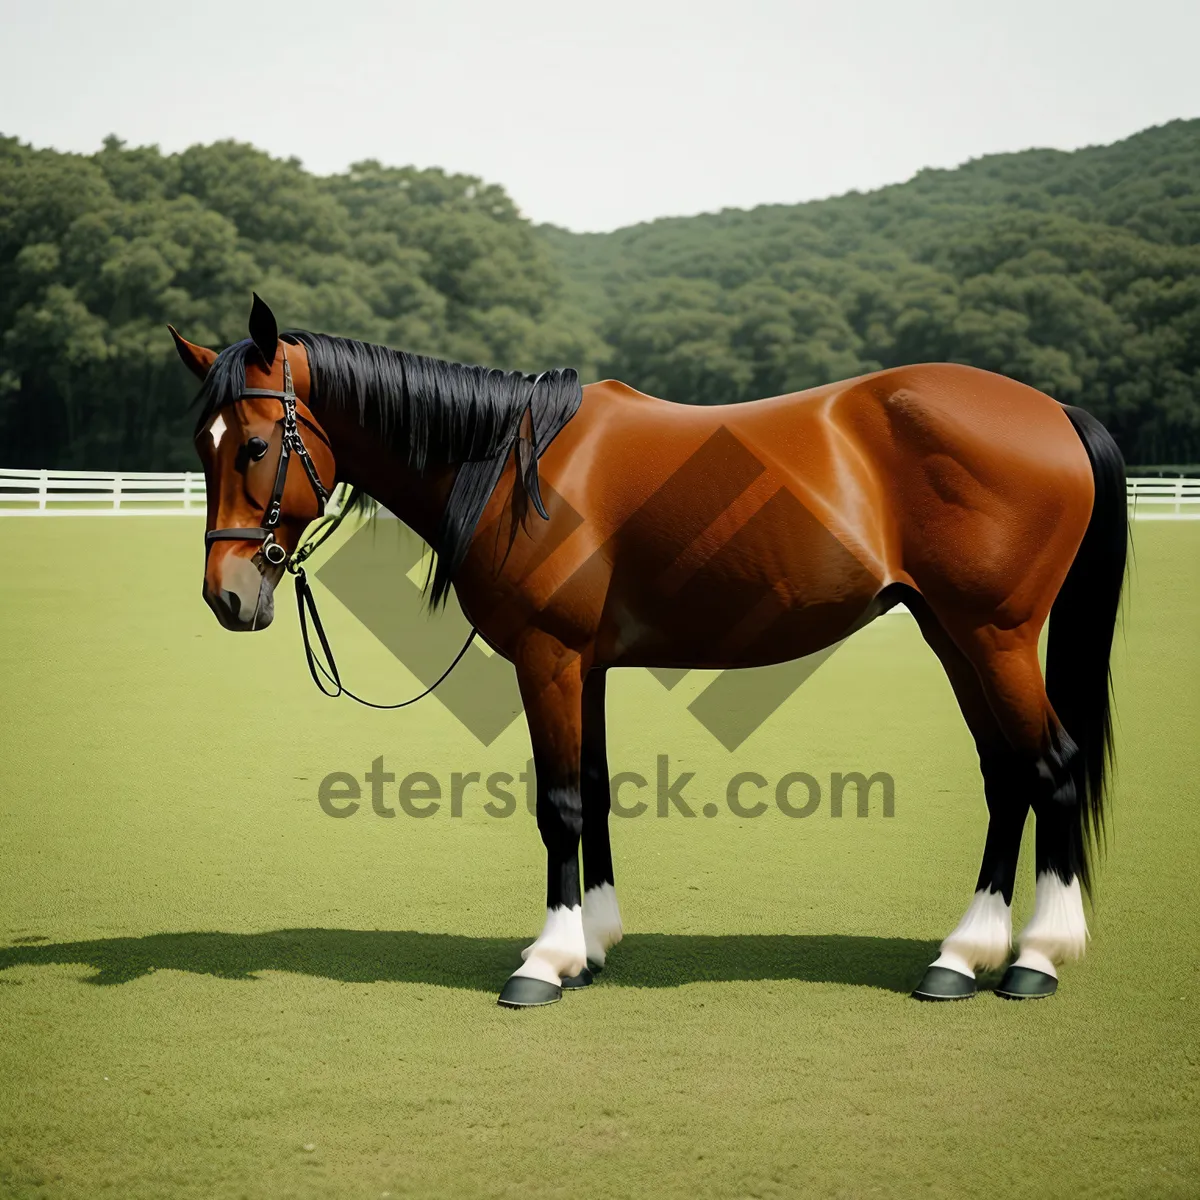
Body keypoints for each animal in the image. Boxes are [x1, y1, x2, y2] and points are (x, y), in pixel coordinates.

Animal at [174, 295, 1128, 1008]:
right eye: (201, 446)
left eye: (253, 445)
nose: (228, 595)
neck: (516, 465)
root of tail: (1053, 409)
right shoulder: (585, 665)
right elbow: (594, 792)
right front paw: (594, 944)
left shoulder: (548, 658)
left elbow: (559, 803)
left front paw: (545, 961)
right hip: (950, 632)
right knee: (1006, 774)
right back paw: (961, 956)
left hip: (993, 635)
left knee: (1052, 766)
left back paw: (1037, 955)